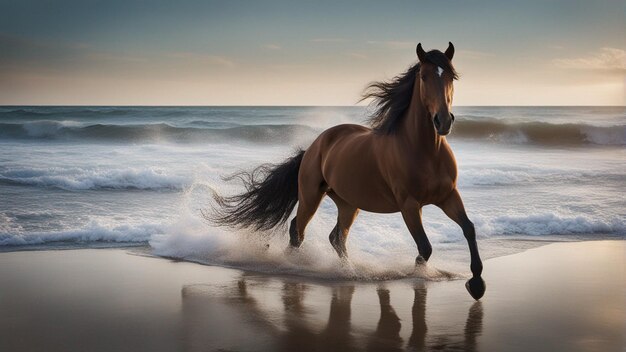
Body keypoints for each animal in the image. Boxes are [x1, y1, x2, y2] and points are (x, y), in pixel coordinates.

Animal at [210, 41, 488, 300]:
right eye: (424, 76)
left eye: (451, 76)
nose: (443, 121)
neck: (424, 151)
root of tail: (314, 145)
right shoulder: (409, 205)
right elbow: (425, 247)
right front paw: (417, 277)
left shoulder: (448, 196)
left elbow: (469, 228)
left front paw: (476, 283)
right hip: (311, 196)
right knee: (297, 231)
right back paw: (294, 267)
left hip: (348, 204)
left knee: (336, 238)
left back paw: (350, 271)